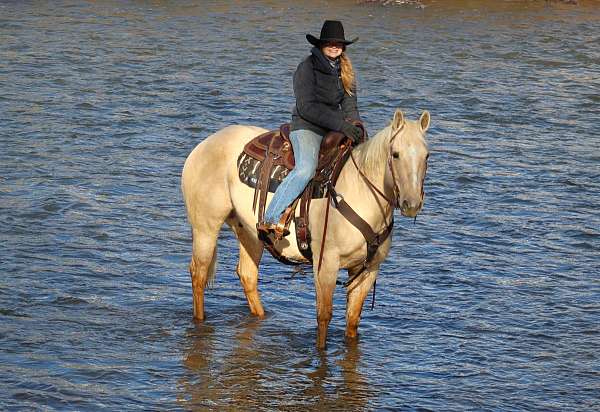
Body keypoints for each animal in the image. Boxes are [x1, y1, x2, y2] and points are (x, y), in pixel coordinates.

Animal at [180, 108, 428, 348]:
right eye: (395, 154)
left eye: (427, 155)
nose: (411, 204)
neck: (359, 191)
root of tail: (205, 144)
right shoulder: (326, 263)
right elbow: (324, 317)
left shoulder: (368, 270)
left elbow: (352, 321)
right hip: (205, 228)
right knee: (199, 274)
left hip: (249, 233)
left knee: (247, 275)